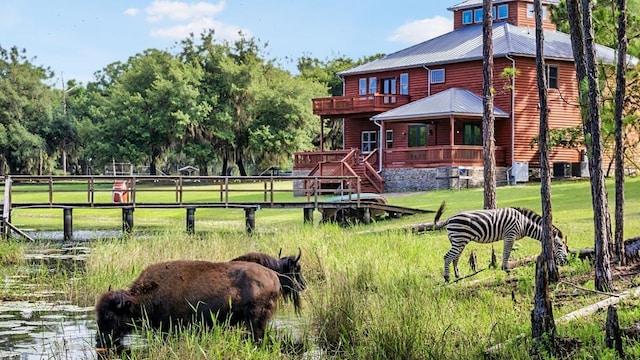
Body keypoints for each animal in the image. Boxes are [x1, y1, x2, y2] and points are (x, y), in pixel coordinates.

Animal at [432, 202, 568, 282]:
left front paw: (504, 268)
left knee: (455, 258)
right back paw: (447, 278)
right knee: (447, 257)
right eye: (560, 245)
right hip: (459, 240)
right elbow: (506, 252)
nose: (566, 261)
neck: (524, 223)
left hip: (459, 241)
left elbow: (506, 252)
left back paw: (458, 276)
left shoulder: (509, 236)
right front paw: (506, 269)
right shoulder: (510, 235)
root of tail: (449, 219)